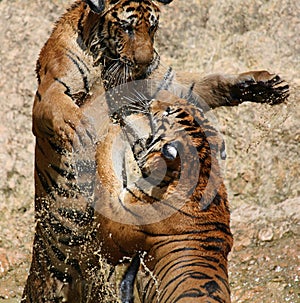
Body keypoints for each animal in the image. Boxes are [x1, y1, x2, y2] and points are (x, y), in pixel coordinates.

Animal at [23, 0, 290, 302]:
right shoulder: (50, 88)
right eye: (125, 27)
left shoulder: (168, 85)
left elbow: (207, 82)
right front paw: (81, 126)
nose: (142, 65)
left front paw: (261, 85)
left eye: (152, 27)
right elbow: (61, 106)